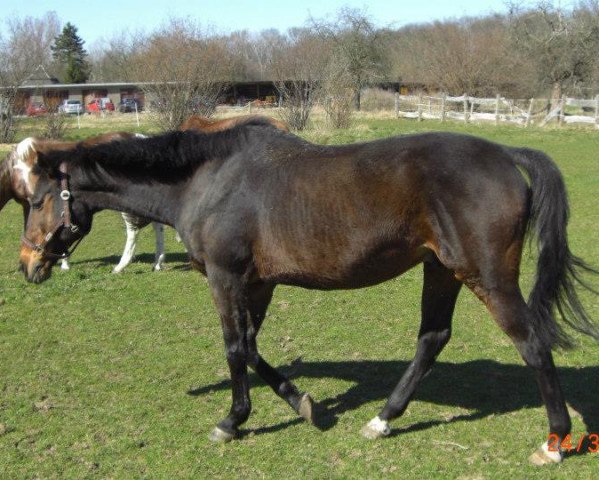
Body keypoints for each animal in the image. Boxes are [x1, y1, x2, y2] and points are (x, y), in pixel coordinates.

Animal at [15, 119, 599, 462]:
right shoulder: (258, 284)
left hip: (487, 278)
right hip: (441, 270)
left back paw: (554, 442)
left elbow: (235, 349)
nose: (27, 265)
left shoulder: (227, 278)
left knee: (533, 344)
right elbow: (252, 349)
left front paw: (231, 421)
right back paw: (382, 420)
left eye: (39, 199)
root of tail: (505, 153)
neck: (209, 181)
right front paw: (305, 405)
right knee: (432, 338)